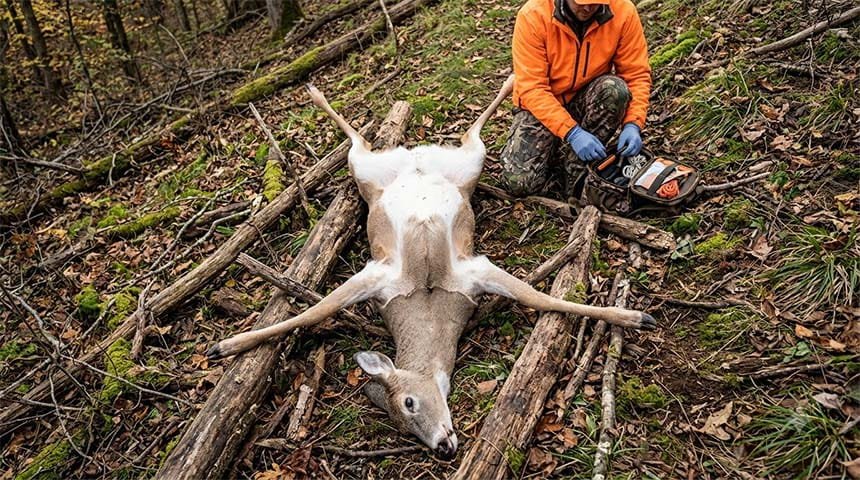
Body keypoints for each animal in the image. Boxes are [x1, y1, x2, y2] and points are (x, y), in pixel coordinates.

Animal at [206, 74, 656, 459]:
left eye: (409, 401)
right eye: (404, 425)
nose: (442, 447)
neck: (428, 303)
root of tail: (416, 156)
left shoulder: (464, 271)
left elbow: (544, 299)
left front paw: (634, 317)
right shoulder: (390, 277)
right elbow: (314, 311)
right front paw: (227, 345)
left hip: (460, 163)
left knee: (450, 134)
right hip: (383, 171)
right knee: (375, 139)